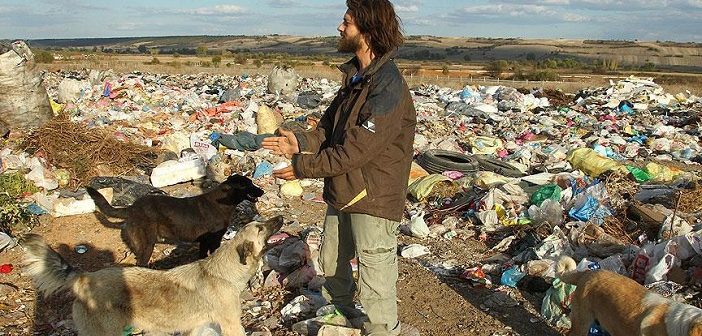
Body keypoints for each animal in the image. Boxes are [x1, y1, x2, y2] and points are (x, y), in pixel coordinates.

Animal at [22, 215, 286, 336]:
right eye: (261, 228)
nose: (282, 218)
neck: (223, 273)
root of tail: (83, 277)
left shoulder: (195, 327)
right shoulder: (231, 325)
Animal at [87, 175, 264, 266]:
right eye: (247, 185)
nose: (262, 191)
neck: (222, 202)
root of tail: (132, 208)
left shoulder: (204, 242)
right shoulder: (214, 241)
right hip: (147, 244)